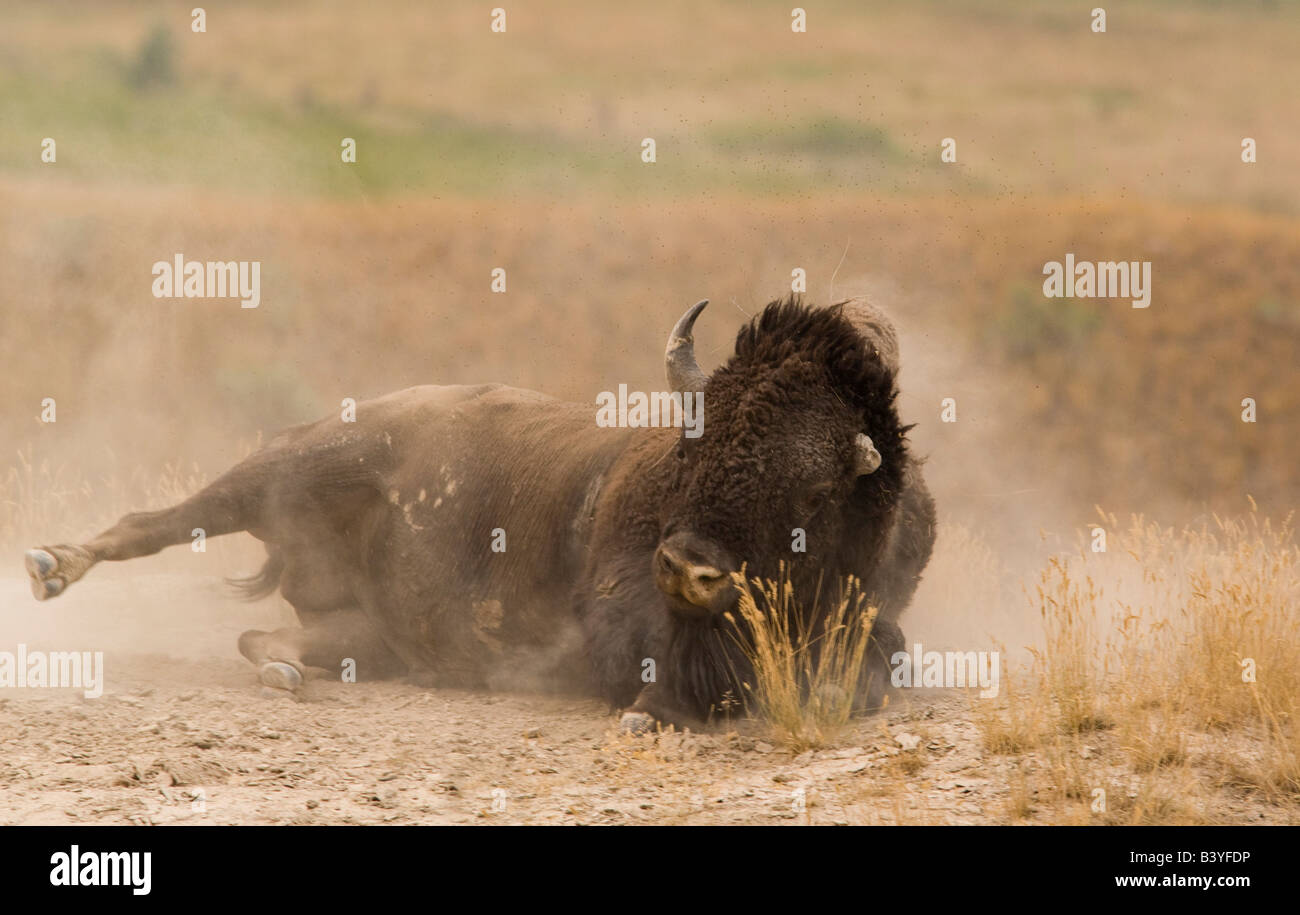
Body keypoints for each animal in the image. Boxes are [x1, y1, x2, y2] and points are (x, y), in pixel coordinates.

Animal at [25, 295, 936, 732]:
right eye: (692, 451)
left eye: (812, 491)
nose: (687, 567)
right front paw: (651, 716)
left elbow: (872, 665)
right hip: (281, 469)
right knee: (154, 520)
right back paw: (50, 566)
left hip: (365, 627)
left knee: (268, 633)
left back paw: (288, 669)